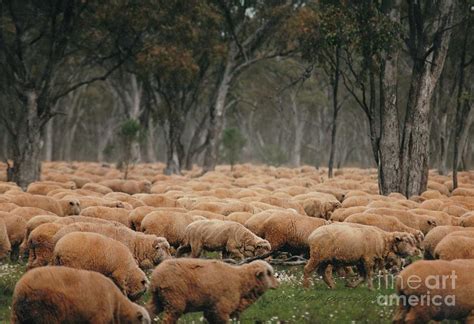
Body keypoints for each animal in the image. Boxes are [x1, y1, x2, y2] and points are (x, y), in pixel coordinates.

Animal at [146, 258, 276, 324]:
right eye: (269, 273)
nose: (277, 283)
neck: (241, 281)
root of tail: (156, 276)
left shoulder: (211, 308)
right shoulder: (222, 308)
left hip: (158, 299)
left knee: (149, 311)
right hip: (174, 300)